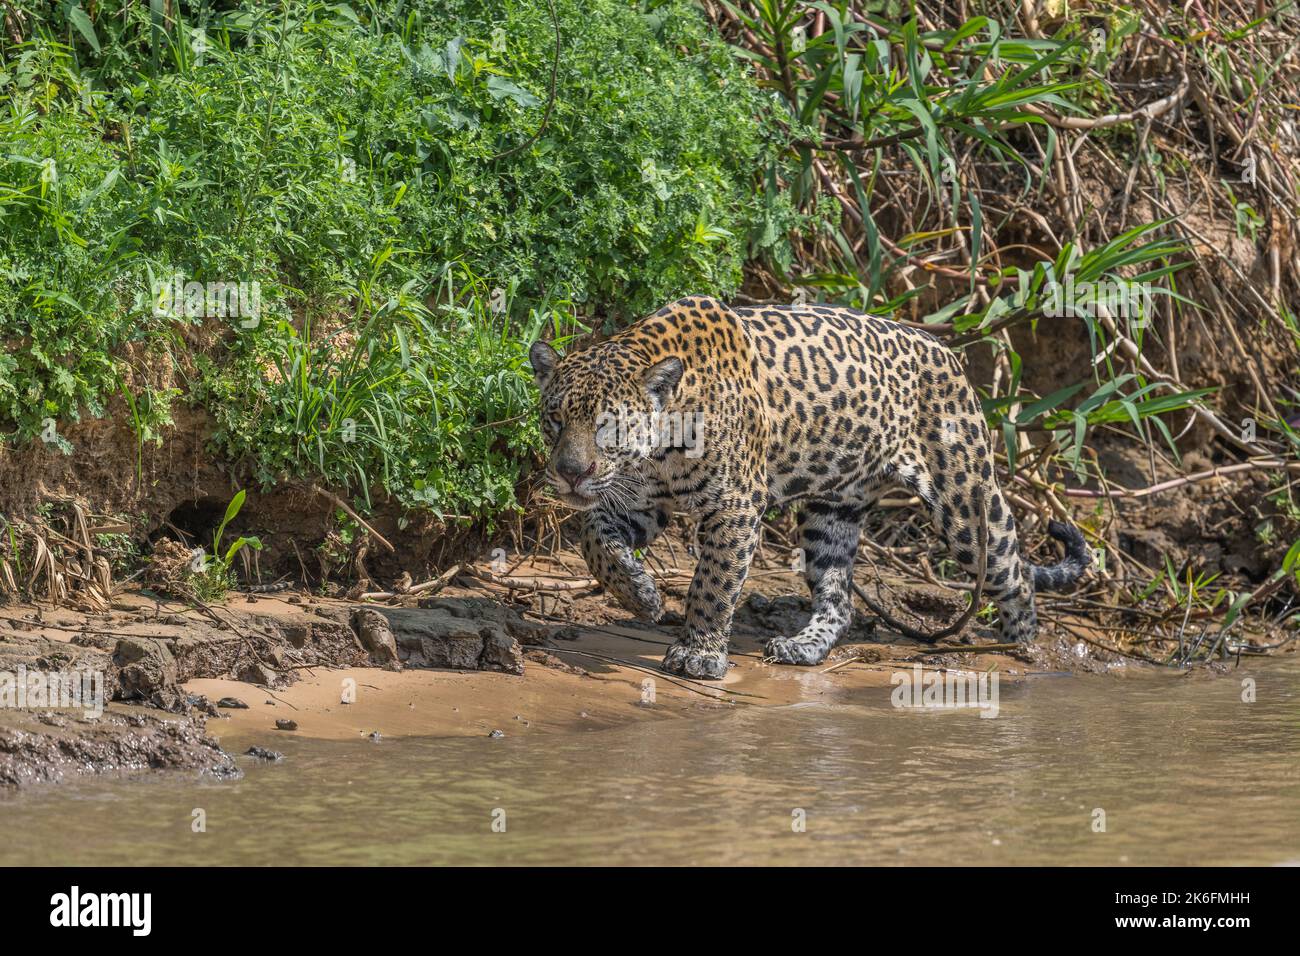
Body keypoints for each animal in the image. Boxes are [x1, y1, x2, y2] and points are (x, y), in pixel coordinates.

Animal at [529, 296, 1090, 680]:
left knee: (1014, 573)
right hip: (832, 511)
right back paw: (802, 646)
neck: (661, 446)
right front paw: (640, 595)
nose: (571, 472)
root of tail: (949, 353)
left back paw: (1019, 651)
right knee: (839, 599)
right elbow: (595, 540)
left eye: (609, 426)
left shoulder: (735, 506)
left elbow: (713, 582)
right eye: (555, 418)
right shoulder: (639, 502)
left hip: (966, 503)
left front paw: (700, 652)